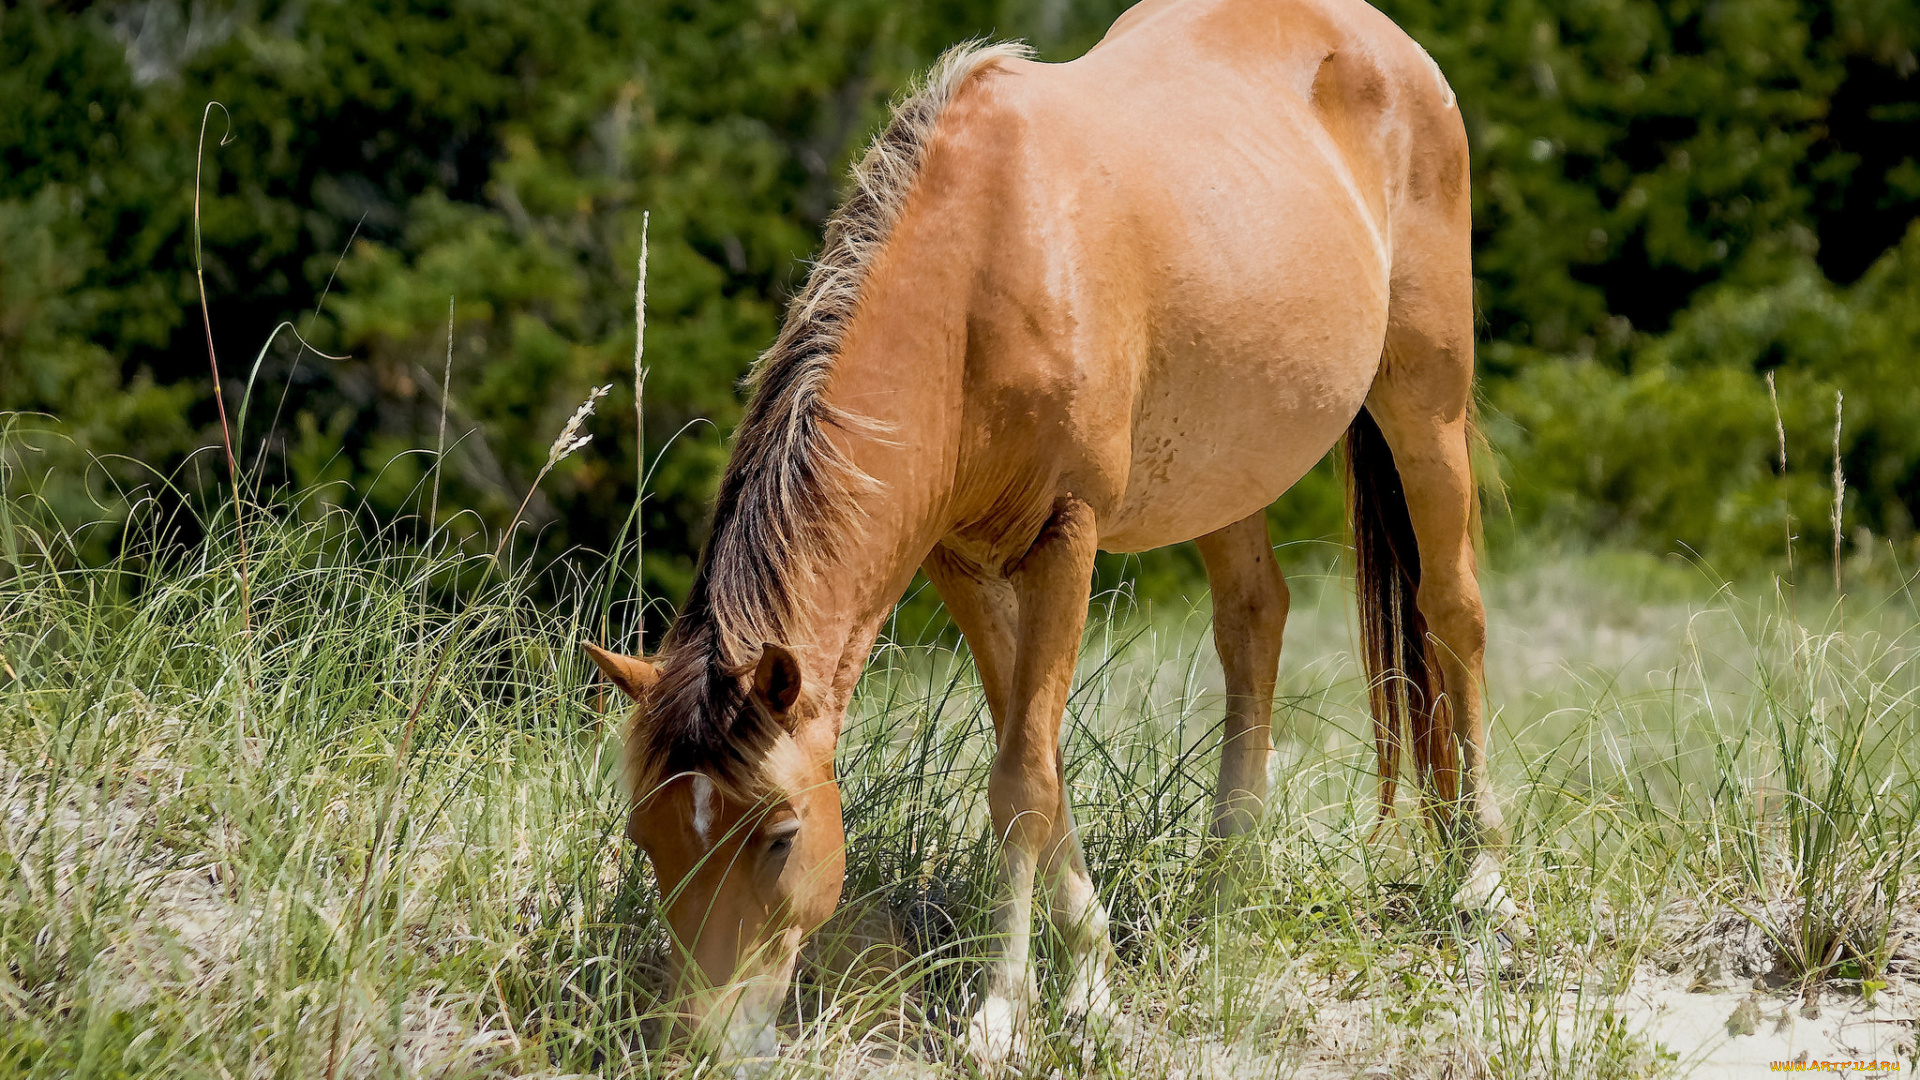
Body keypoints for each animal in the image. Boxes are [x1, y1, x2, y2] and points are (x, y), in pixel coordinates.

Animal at [583, 0, 1512, 1060]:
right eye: (649, 837)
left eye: (777, 837)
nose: (701, 1040)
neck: (984, 273)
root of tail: (1385, 44)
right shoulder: (961, 560)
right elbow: (1040, 763)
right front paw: (1094, 981)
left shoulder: (1065, 540)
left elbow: (1023, 777)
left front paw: (1001, 1013)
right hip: (1226, 476)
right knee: (1254, 623)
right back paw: (1219, 898)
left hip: (1425, 400)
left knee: (1452, 609)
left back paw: (1485, 879)